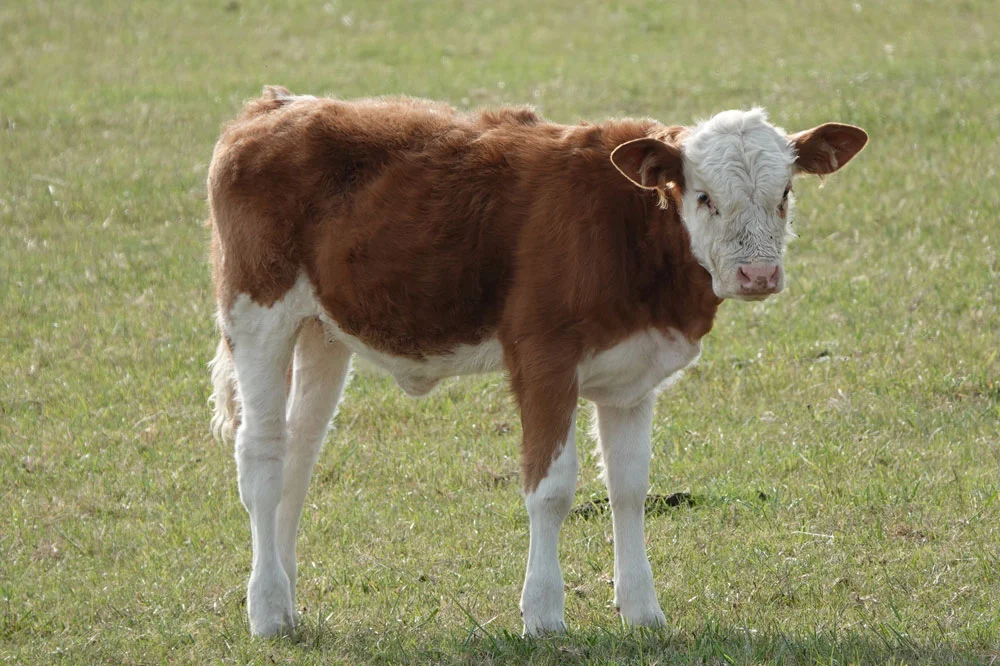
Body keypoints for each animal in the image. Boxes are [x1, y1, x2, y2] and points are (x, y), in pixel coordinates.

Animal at [207, 86, 867, 637]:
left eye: (784, 194)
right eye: (704, 198)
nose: (759, 275)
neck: (628, 228)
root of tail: (275, 106)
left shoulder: (633, 377)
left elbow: (630, 488)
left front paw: (643, 610)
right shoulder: (544, 360)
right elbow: (550, 490)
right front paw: (544, 613)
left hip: (323, 333)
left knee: (299, 455)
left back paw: (286, 600)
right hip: (258, 314)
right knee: (262, 456)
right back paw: (266, 612)